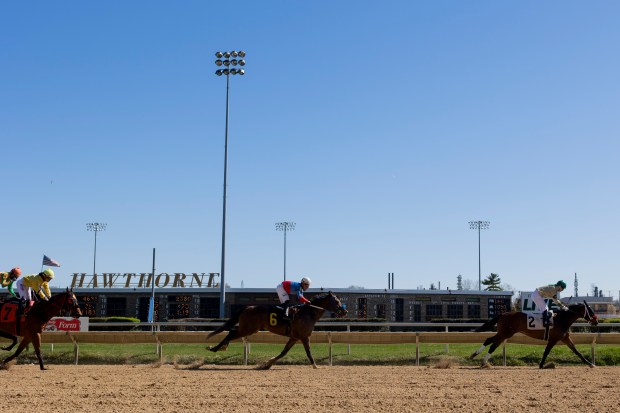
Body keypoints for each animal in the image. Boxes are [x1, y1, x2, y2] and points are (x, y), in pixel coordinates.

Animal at [206, 292, 346, 368]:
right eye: (336, 301)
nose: (345, 311)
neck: (308, 312)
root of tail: (247, 307)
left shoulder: (294, 337)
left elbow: (283, 352)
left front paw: (267, 364)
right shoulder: (304, 336)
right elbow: (309, 352)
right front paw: (315, 366)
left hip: (248, 328)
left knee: (231, 332)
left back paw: (219, 347)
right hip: (248, 329)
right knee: (231, 333)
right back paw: (215, 348)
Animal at [472, 300, 600, 366]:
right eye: (590, 310)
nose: (596, 321)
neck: (562, 319)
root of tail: (502, 314)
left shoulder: (565, 338)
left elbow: (577, 351)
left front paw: (590, 363)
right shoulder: (553, 339)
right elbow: (546, 351)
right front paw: (541, 365)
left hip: (504, 333)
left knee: (491, 342)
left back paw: (479, 358)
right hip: (505, 333)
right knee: (491, 342)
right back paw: (480, 358)